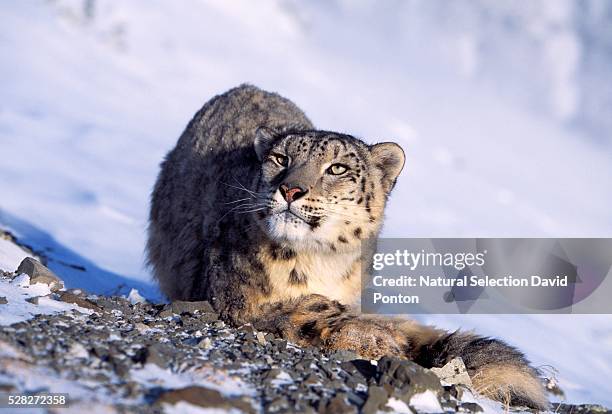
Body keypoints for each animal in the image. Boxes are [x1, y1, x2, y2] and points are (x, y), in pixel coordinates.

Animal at [148, 84, 548, 408]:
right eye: (280, 159)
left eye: (337, 168)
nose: (290, 189)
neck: (320, 263)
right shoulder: (238, 298)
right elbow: (311, 312)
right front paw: (381, 340)